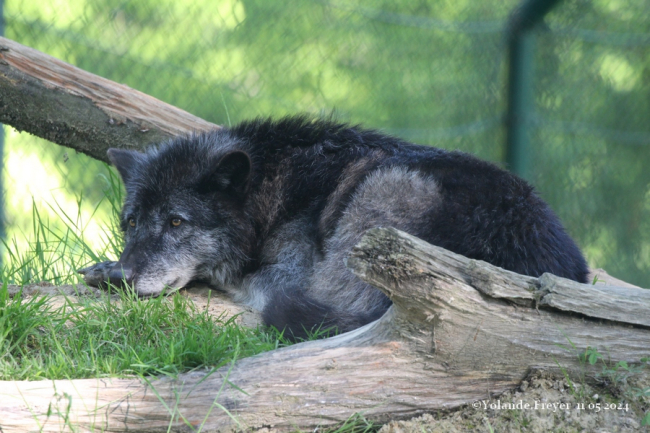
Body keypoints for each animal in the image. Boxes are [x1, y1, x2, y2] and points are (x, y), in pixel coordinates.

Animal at [92, 116, 588, 340]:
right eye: (132, 223)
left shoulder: (288, 276)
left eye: (176, 221)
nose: (123, 276)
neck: (274, 193)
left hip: (386, 185)